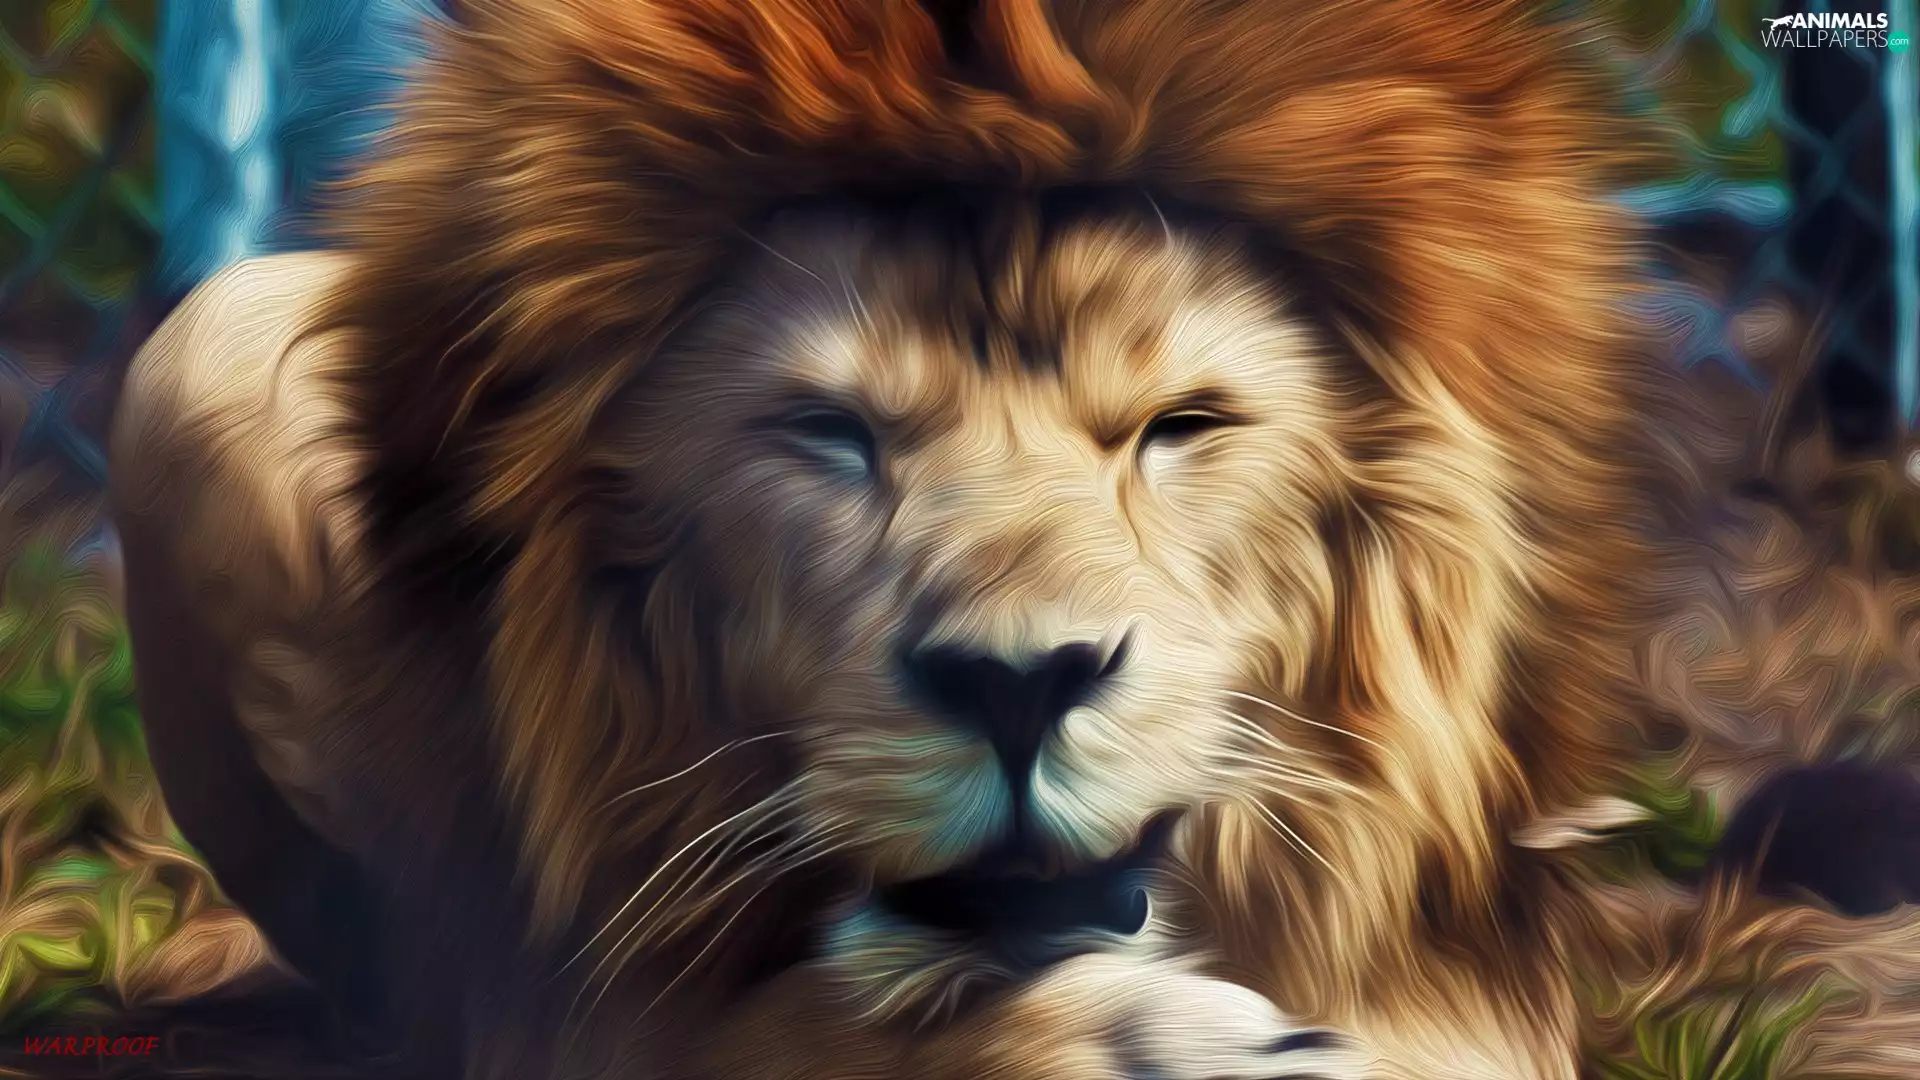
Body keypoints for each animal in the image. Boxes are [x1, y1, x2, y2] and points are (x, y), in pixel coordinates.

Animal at [106, 0, 1745, 1077]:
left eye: (1179, 426)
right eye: (829, 431)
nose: (1020, 685)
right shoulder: (568, 1007)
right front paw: (1150, 1042)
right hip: (199, 343)